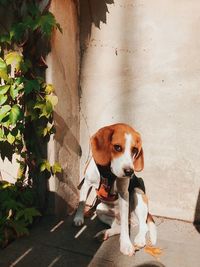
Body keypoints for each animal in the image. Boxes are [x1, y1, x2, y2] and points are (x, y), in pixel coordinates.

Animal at [73, 124, 156, 258]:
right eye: (117, 147)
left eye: (134, 150)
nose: (130, 172)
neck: (108, 172)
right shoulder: (86, 183)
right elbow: (81, 203)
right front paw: (78, 218)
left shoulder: (124, 193)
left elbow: (126, 230)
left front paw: (126, 245)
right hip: (100, 209)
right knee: (118, 227)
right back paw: (104, 233)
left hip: (137, 193)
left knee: (141, 226)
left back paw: (139, 240)